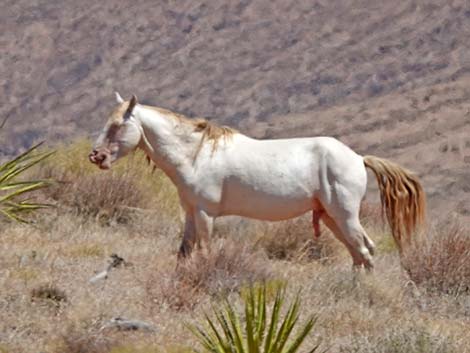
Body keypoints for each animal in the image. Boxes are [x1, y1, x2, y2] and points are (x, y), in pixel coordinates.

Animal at [89, 92, 426, 268]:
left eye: (118, 125)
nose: (96, 156)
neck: (196, 153)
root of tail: (357, 158)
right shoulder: (190, 212)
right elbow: (183, 252)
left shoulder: (205, 214)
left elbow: (204, 252)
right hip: (331, 218)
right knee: (359, 254)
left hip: (344, 216)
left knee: (365, 252)